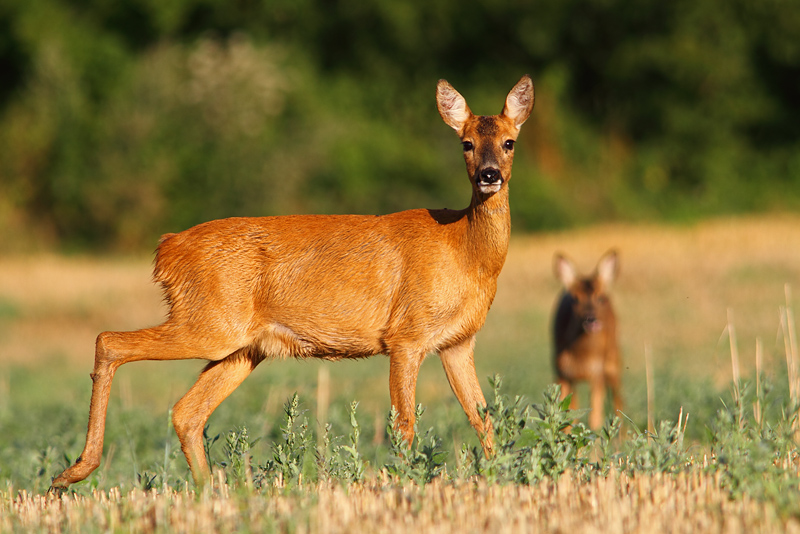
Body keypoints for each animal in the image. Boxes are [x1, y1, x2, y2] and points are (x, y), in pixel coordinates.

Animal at [53, 76, 536, 494]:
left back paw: (209, 492)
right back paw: (72, 473)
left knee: (186, 411)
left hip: (243, 347)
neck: (466, 252)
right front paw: (401, 483)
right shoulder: (407, 335)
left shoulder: (458, 342)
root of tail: (166, 249)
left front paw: (501, 477)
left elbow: (483, 418)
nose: (489, 175)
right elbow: (404, 426)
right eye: (466, 143)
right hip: (210, 323)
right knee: (109, 340)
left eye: (509, 142)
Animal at [552, 251, 620, 432]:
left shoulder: (597, 372)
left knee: (618, 399)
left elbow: (595, 417)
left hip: (612, 360)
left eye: (600, 298)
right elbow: (565, 414)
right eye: (575, 299)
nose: (591, 319)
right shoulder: (561, 372)